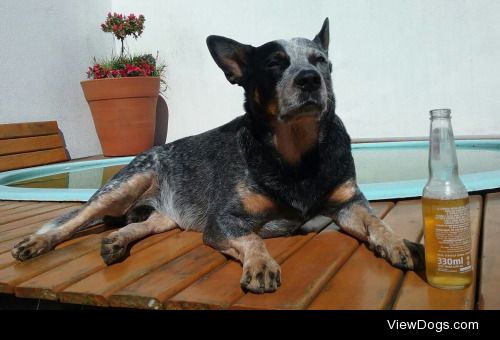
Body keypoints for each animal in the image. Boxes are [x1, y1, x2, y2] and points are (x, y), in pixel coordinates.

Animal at [11, 18, 422, 294]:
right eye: (274, 63)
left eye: (320, 59)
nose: (309, 78)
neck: (295, 152)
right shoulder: (223, 220)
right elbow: (251, 237)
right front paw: (260, 263)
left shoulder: (348, 203)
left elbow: (377, 223)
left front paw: (397, 243)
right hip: (127, 182)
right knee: (72, 221)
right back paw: (37, 242)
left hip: (167, 214)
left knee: (145, 224)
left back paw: (117, 240)